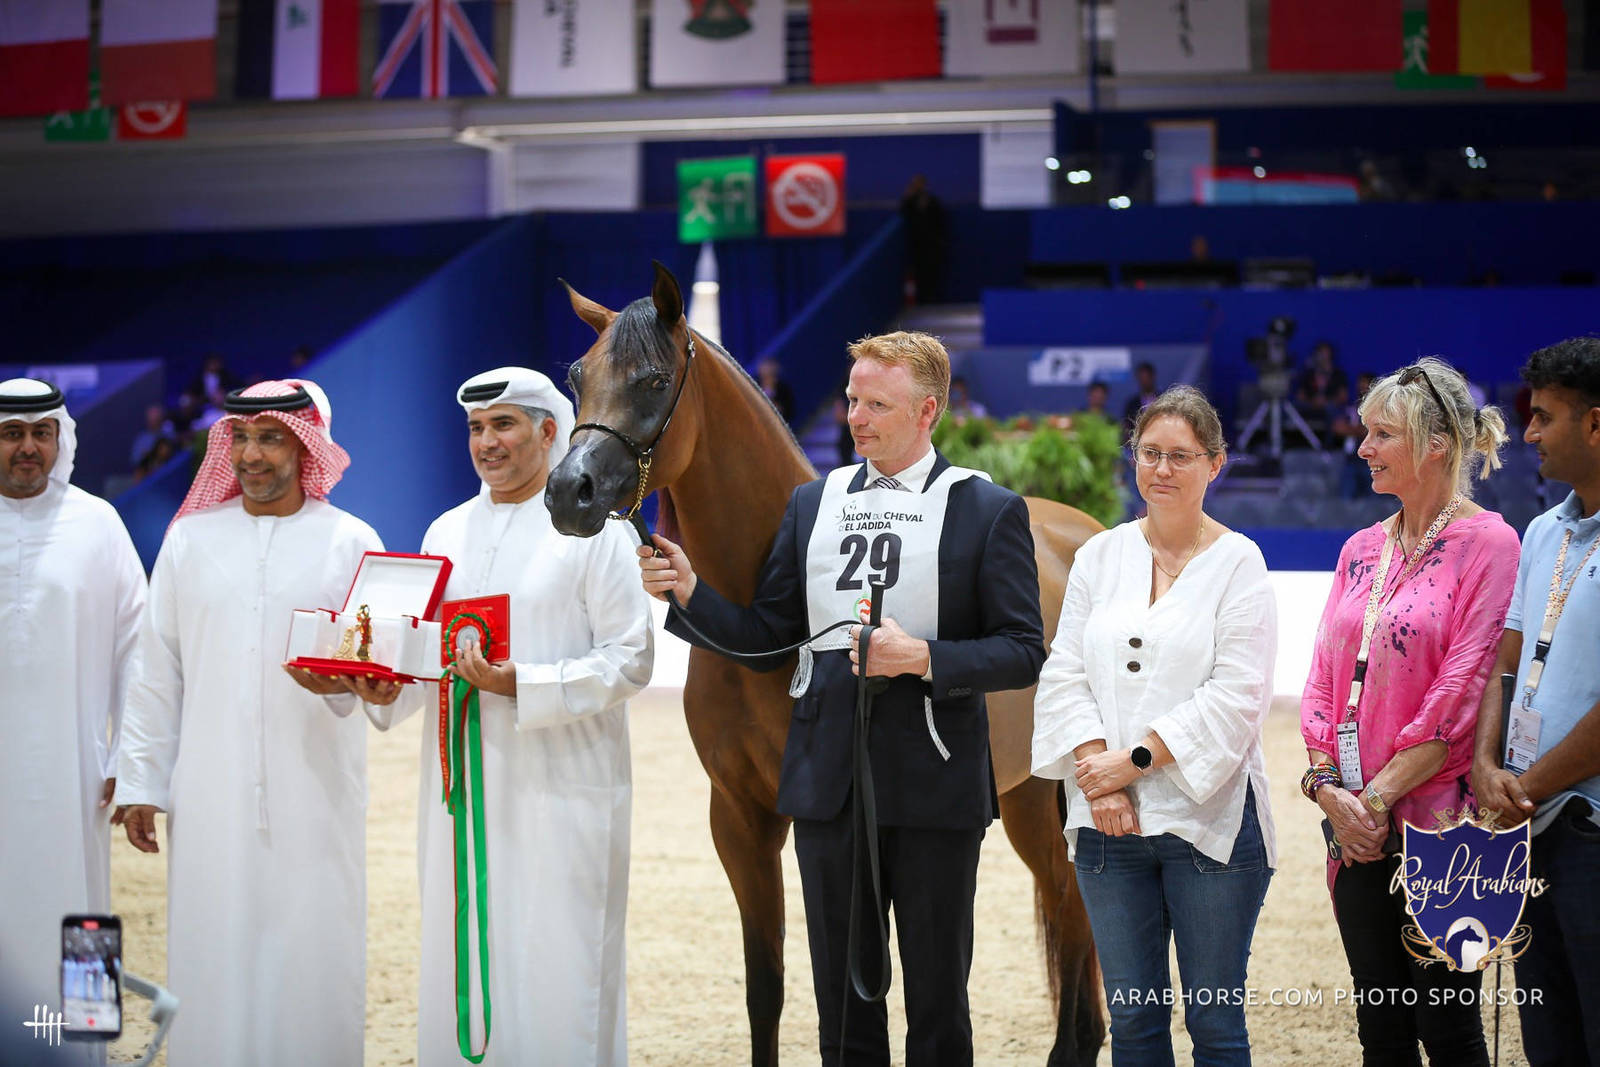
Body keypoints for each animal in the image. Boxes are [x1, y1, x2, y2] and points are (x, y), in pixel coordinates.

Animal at [545, 262, 1107, 1066]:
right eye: (576, 375)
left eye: (652, 380)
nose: (569, 491)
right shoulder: (739, 816)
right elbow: (768, 987)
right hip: (1029, 796)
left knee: (1076, 914)